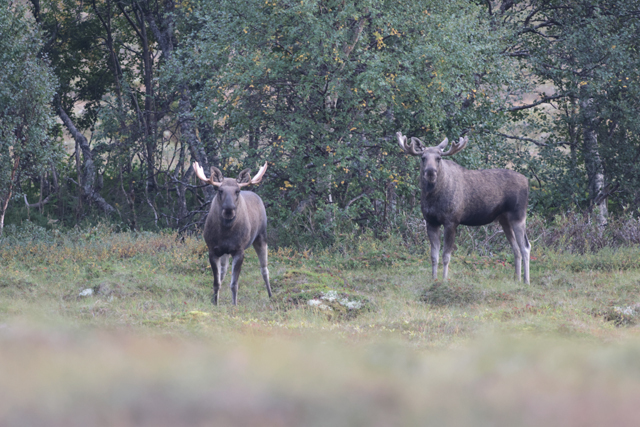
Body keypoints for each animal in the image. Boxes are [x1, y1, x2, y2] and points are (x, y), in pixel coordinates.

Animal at [192, 162, 272, 306]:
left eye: (237, 191)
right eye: (220, 190)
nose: (229, 210)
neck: (225, 234)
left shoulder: (239, 250)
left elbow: (234, 284)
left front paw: (234, 304)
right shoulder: (212, 249)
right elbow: (216, 282)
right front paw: (214, 302)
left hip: (261, 236)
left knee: (264, 269)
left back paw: (270, 295)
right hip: (225, 252)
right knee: (223, 271)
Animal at [400, 130, 528, 284]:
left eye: (438, 158)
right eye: (423, 157)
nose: (430, 172)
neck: (433, 197)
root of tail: (527, 181)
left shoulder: (451, 221)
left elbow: (446, 256)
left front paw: (444, 280)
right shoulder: (431, 222)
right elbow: (433, 256)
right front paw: (433, 279)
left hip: (518, 215)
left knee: (525, 247)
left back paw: (526, 281)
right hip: (504, 219)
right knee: (516, 249)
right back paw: (517, 279)